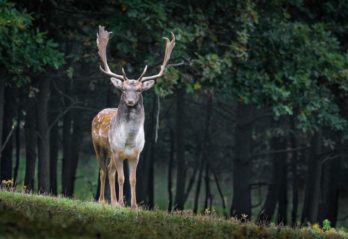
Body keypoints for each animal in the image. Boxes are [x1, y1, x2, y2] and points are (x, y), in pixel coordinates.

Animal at [91, 26, 175, 208]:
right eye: (123, 89)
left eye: (139, 90)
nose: (130, 101)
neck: (129, 140)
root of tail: (98, 114)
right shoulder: (118, 151)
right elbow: (121, 178)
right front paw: (121, 203)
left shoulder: (136, 154)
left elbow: (133, 179)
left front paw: (134, 205)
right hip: (99, 147)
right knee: (103, 170)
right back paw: (103, 200)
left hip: (111, 153)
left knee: (110, 170)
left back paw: (112, 201)